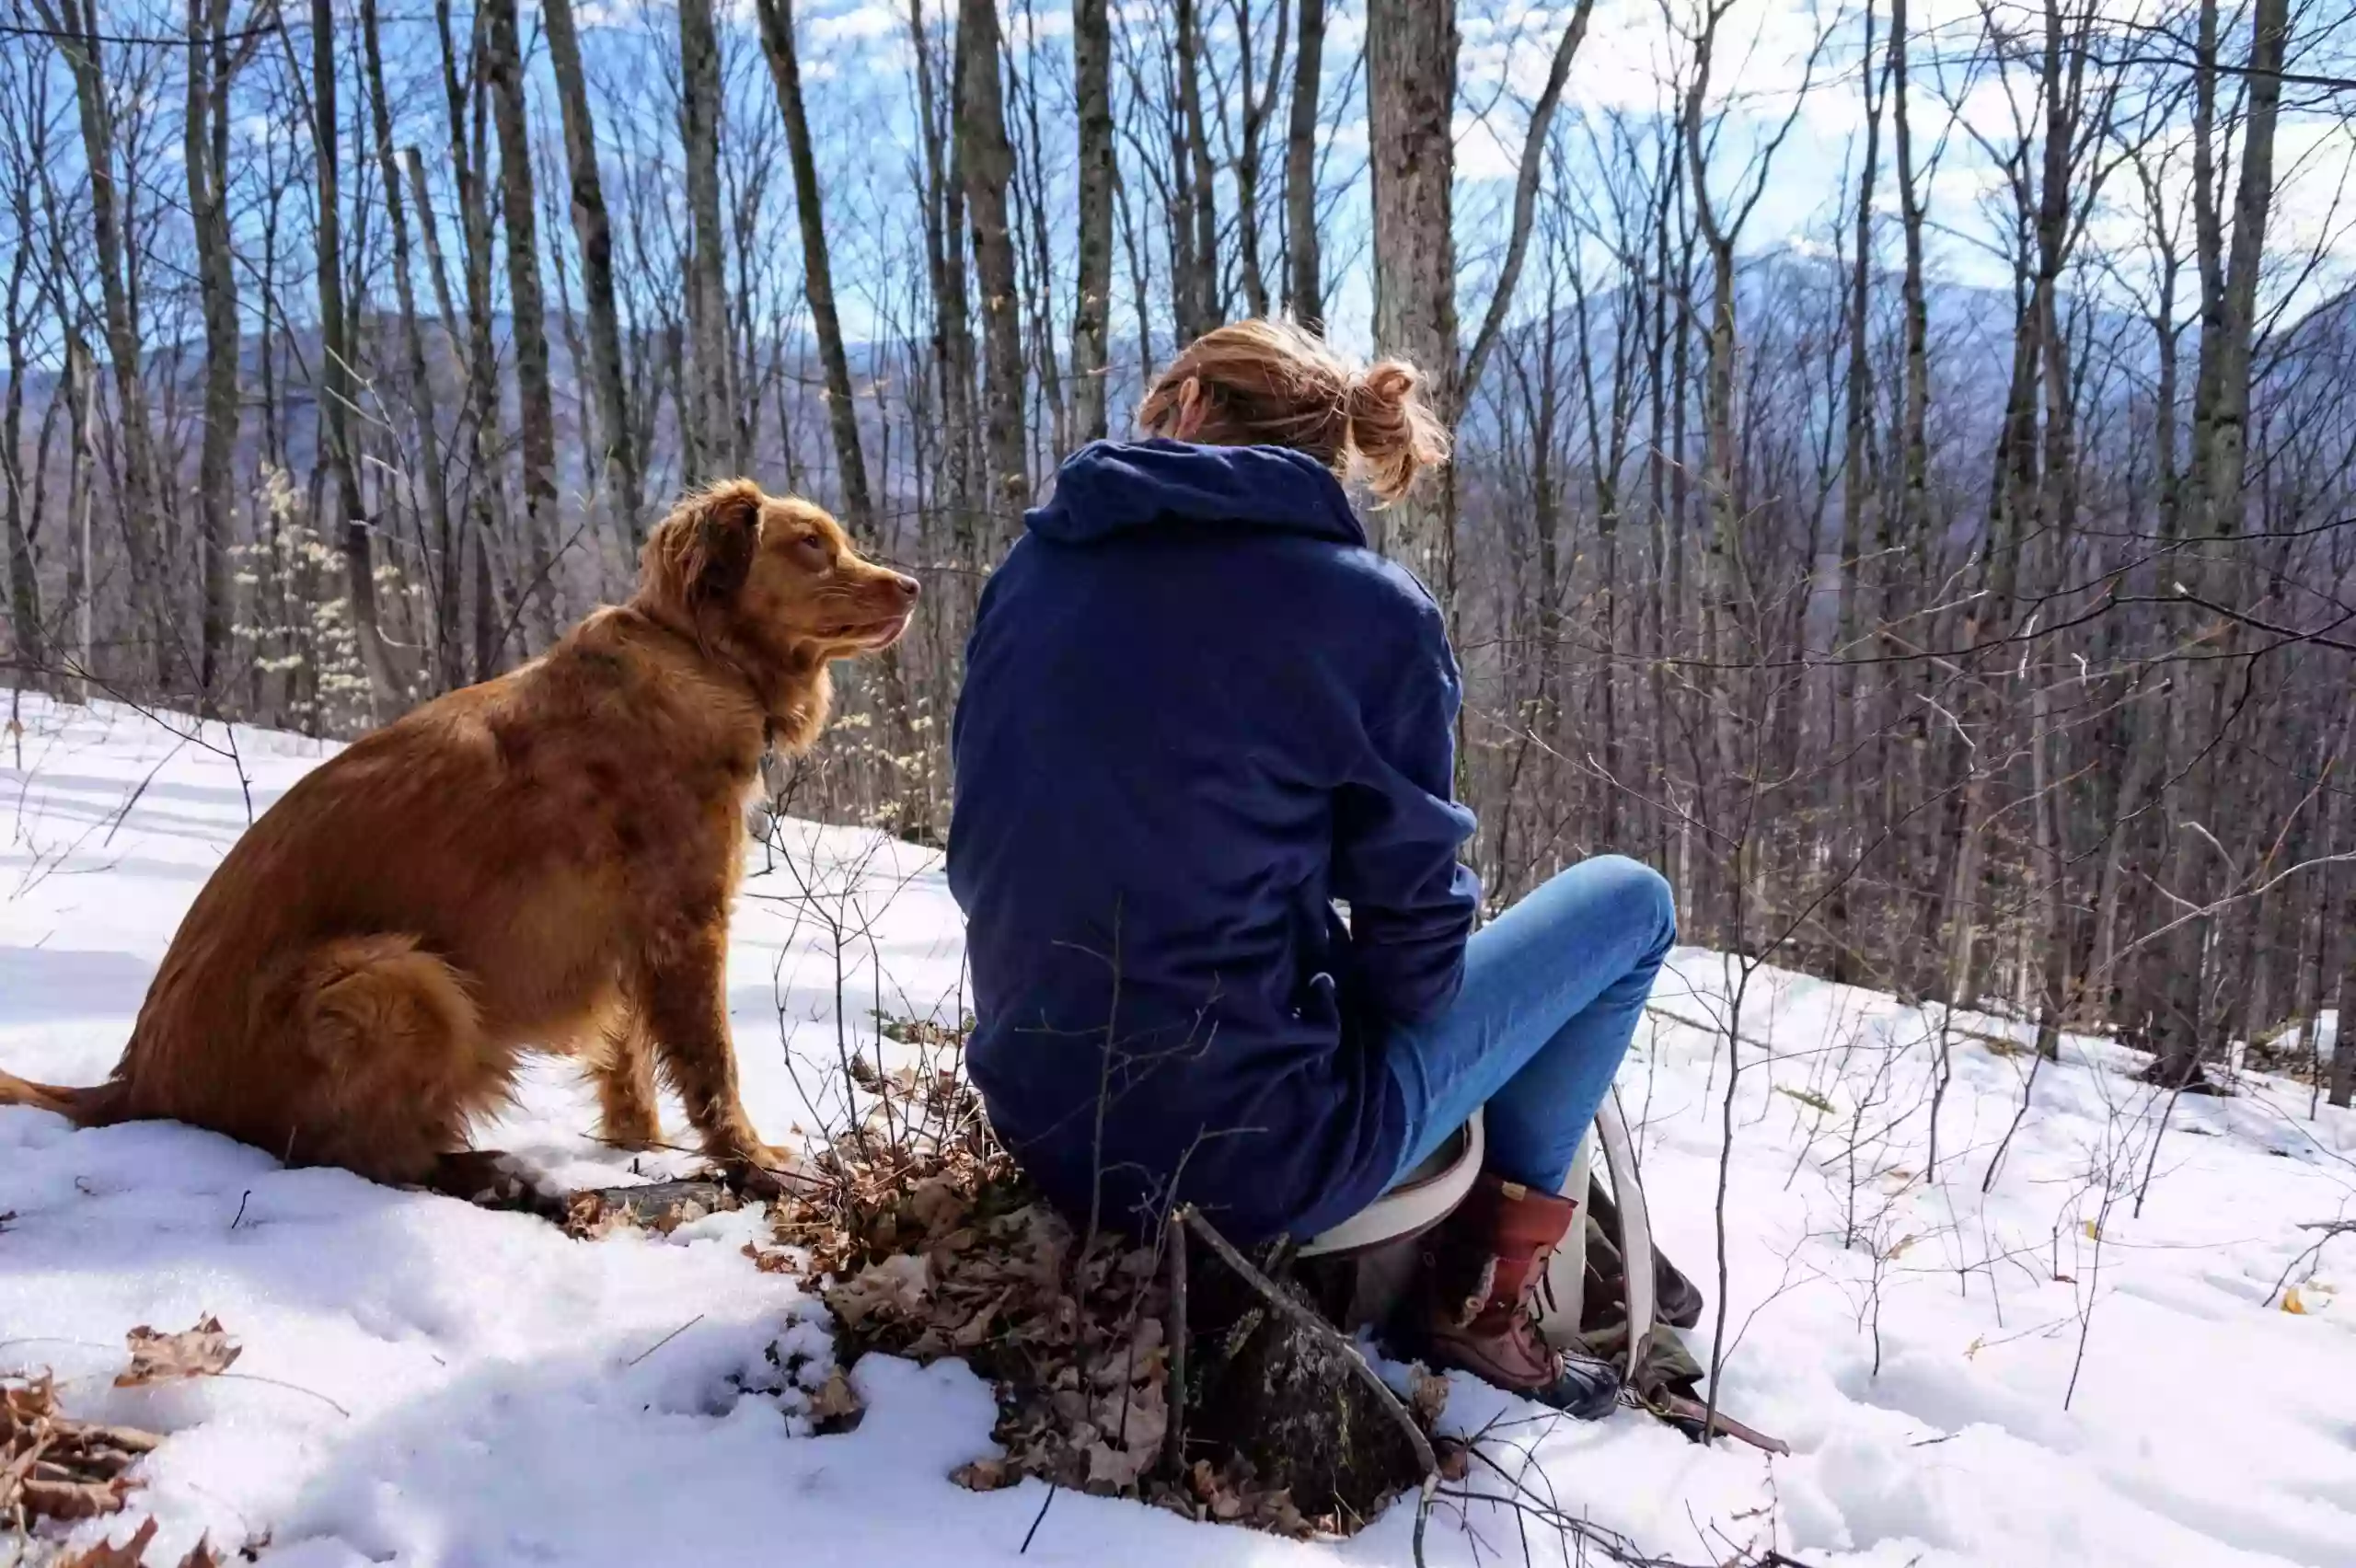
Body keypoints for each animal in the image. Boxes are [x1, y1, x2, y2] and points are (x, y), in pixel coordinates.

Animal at [0, 475, 914, 1186]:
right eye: (810, 544)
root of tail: (133, 1083)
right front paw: (750, 1157)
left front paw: (638, 1142)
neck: (698, 658)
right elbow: (711, 1063)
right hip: (402, 979)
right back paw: (487, 1171)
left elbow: (625, 1058)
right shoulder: (685, 924)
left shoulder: (627, 941)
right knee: (357, 1157)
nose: (909, 585)